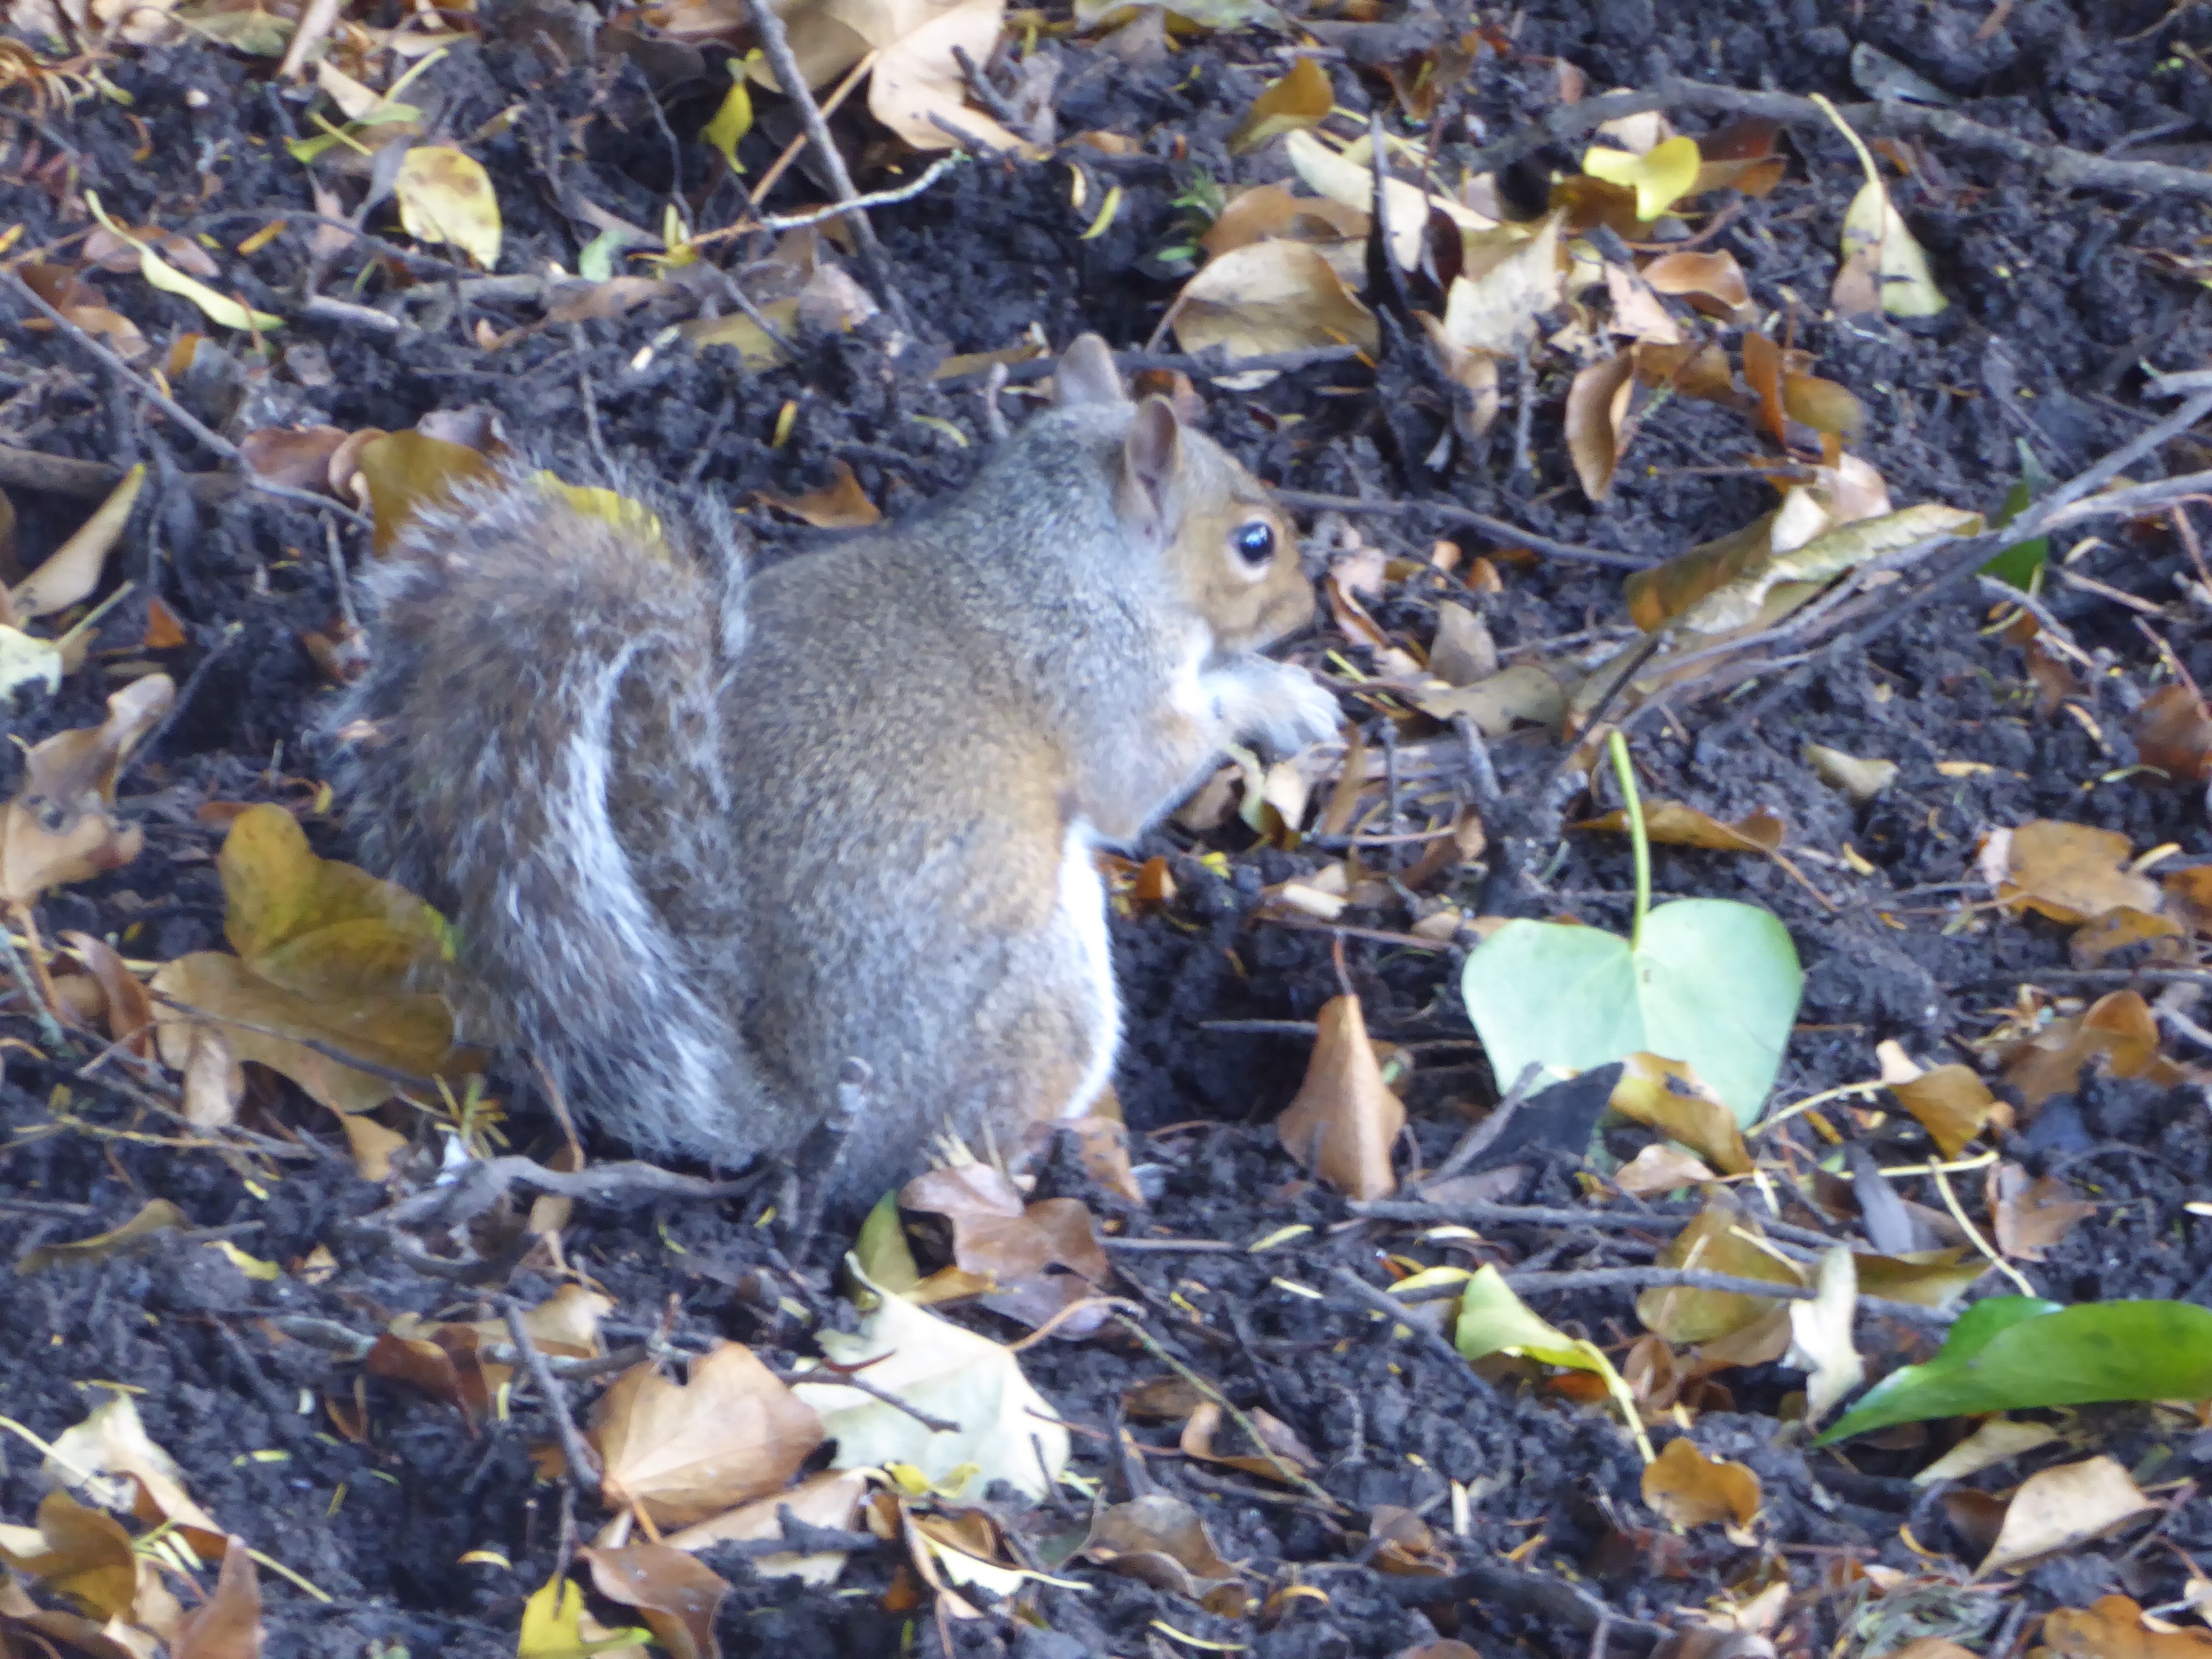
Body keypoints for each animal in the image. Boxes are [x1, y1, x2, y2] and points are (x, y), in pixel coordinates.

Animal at [331, 335, 1339, 1206]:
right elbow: (1141, 776)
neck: (1064, 563)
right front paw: (1278, 693)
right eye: (1254, 543)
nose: (1307, 607)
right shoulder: (1099, 680)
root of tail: (798, 1104)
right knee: (963, 1149)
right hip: (1041, 1002)